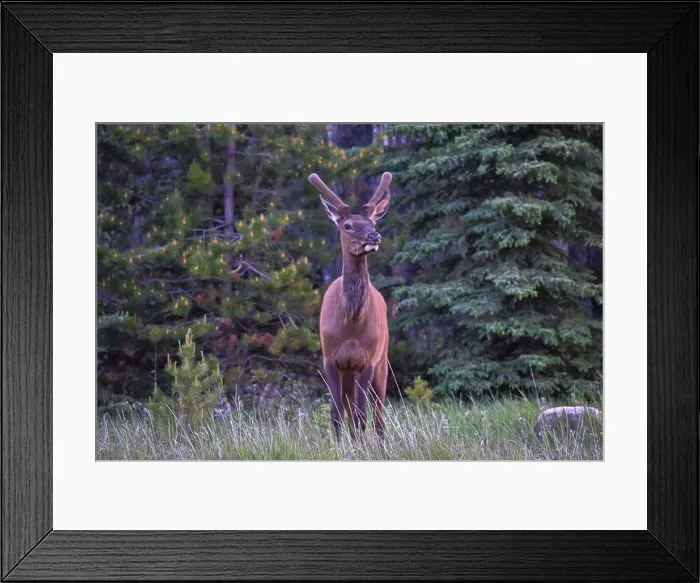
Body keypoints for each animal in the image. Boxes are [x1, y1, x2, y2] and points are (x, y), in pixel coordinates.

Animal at [309, 172, 392, 440]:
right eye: (347, 226)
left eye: (374, 224)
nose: (374, 237)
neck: (351, 323)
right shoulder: (330, 359)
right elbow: (335, 414)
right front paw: (338, 444)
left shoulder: (367, 360)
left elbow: (361, 415)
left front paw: (358, 444)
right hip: (349, 372)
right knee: (349, 407)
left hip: (382, 360)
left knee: (377, 413)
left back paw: (379, 442)